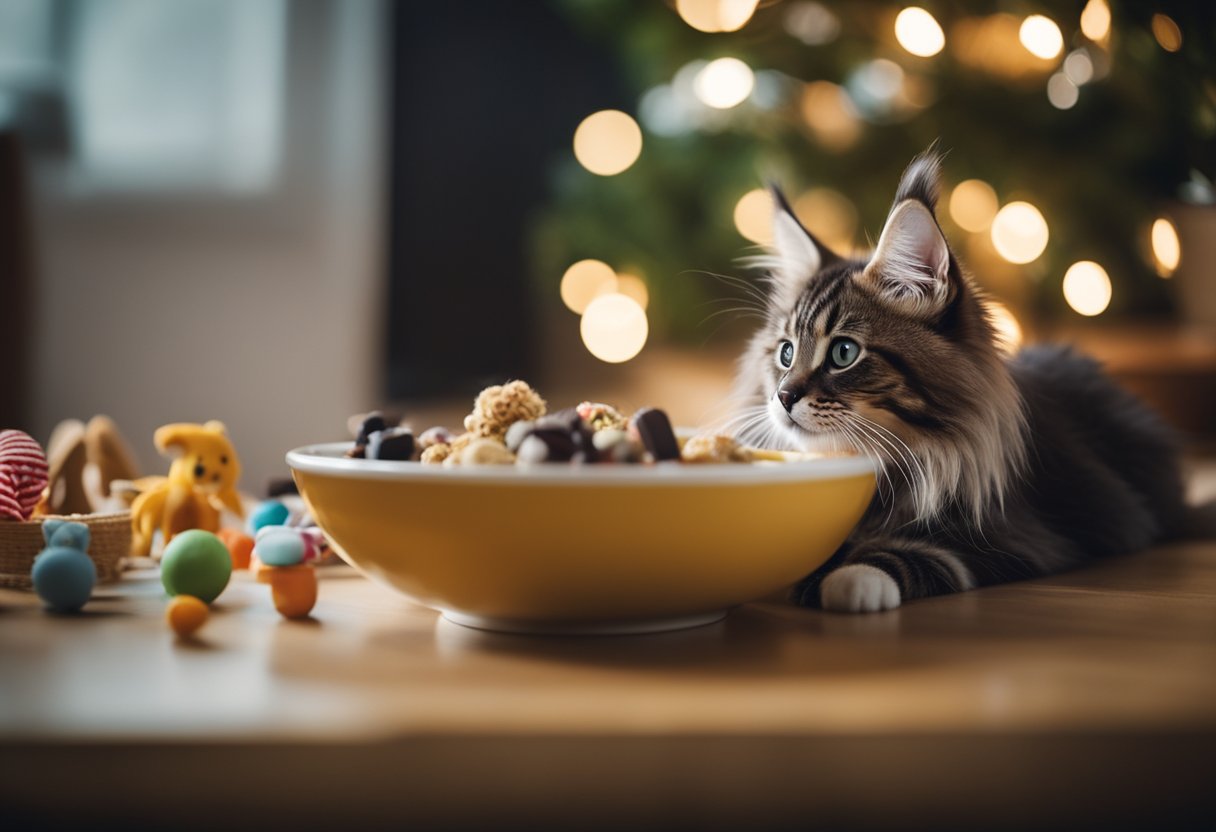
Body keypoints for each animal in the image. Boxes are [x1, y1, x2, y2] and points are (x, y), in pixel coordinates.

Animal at [729, 152, 1186, 613]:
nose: (784, 396)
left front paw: (851, 578)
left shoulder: (1015, 537)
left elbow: (919, 553)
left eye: (843, 352)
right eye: (786, 354)